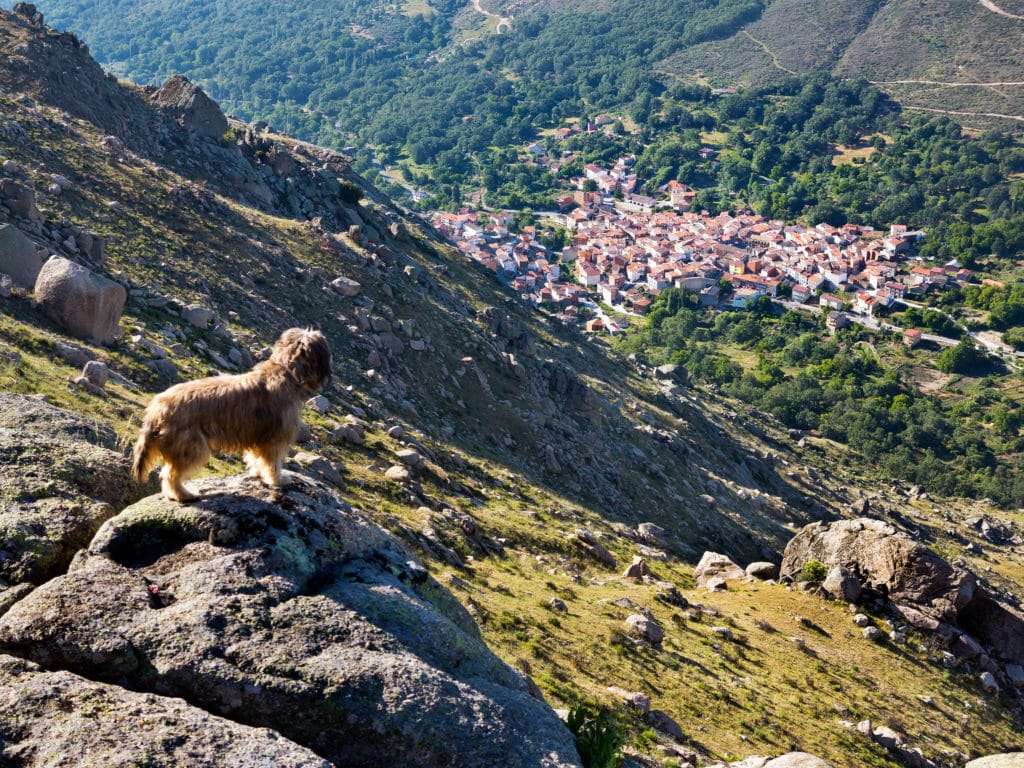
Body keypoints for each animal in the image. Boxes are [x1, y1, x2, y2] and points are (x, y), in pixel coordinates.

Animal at [131, 327, 331, 501]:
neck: (287, 371)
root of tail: (156, 408)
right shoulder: (275, 437)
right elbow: (273, 462)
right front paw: (278, 479)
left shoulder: (257, 435)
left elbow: (256, 459)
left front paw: (258, 473)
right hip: (190, 446)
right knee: (170, 474)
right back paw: (183, 495)